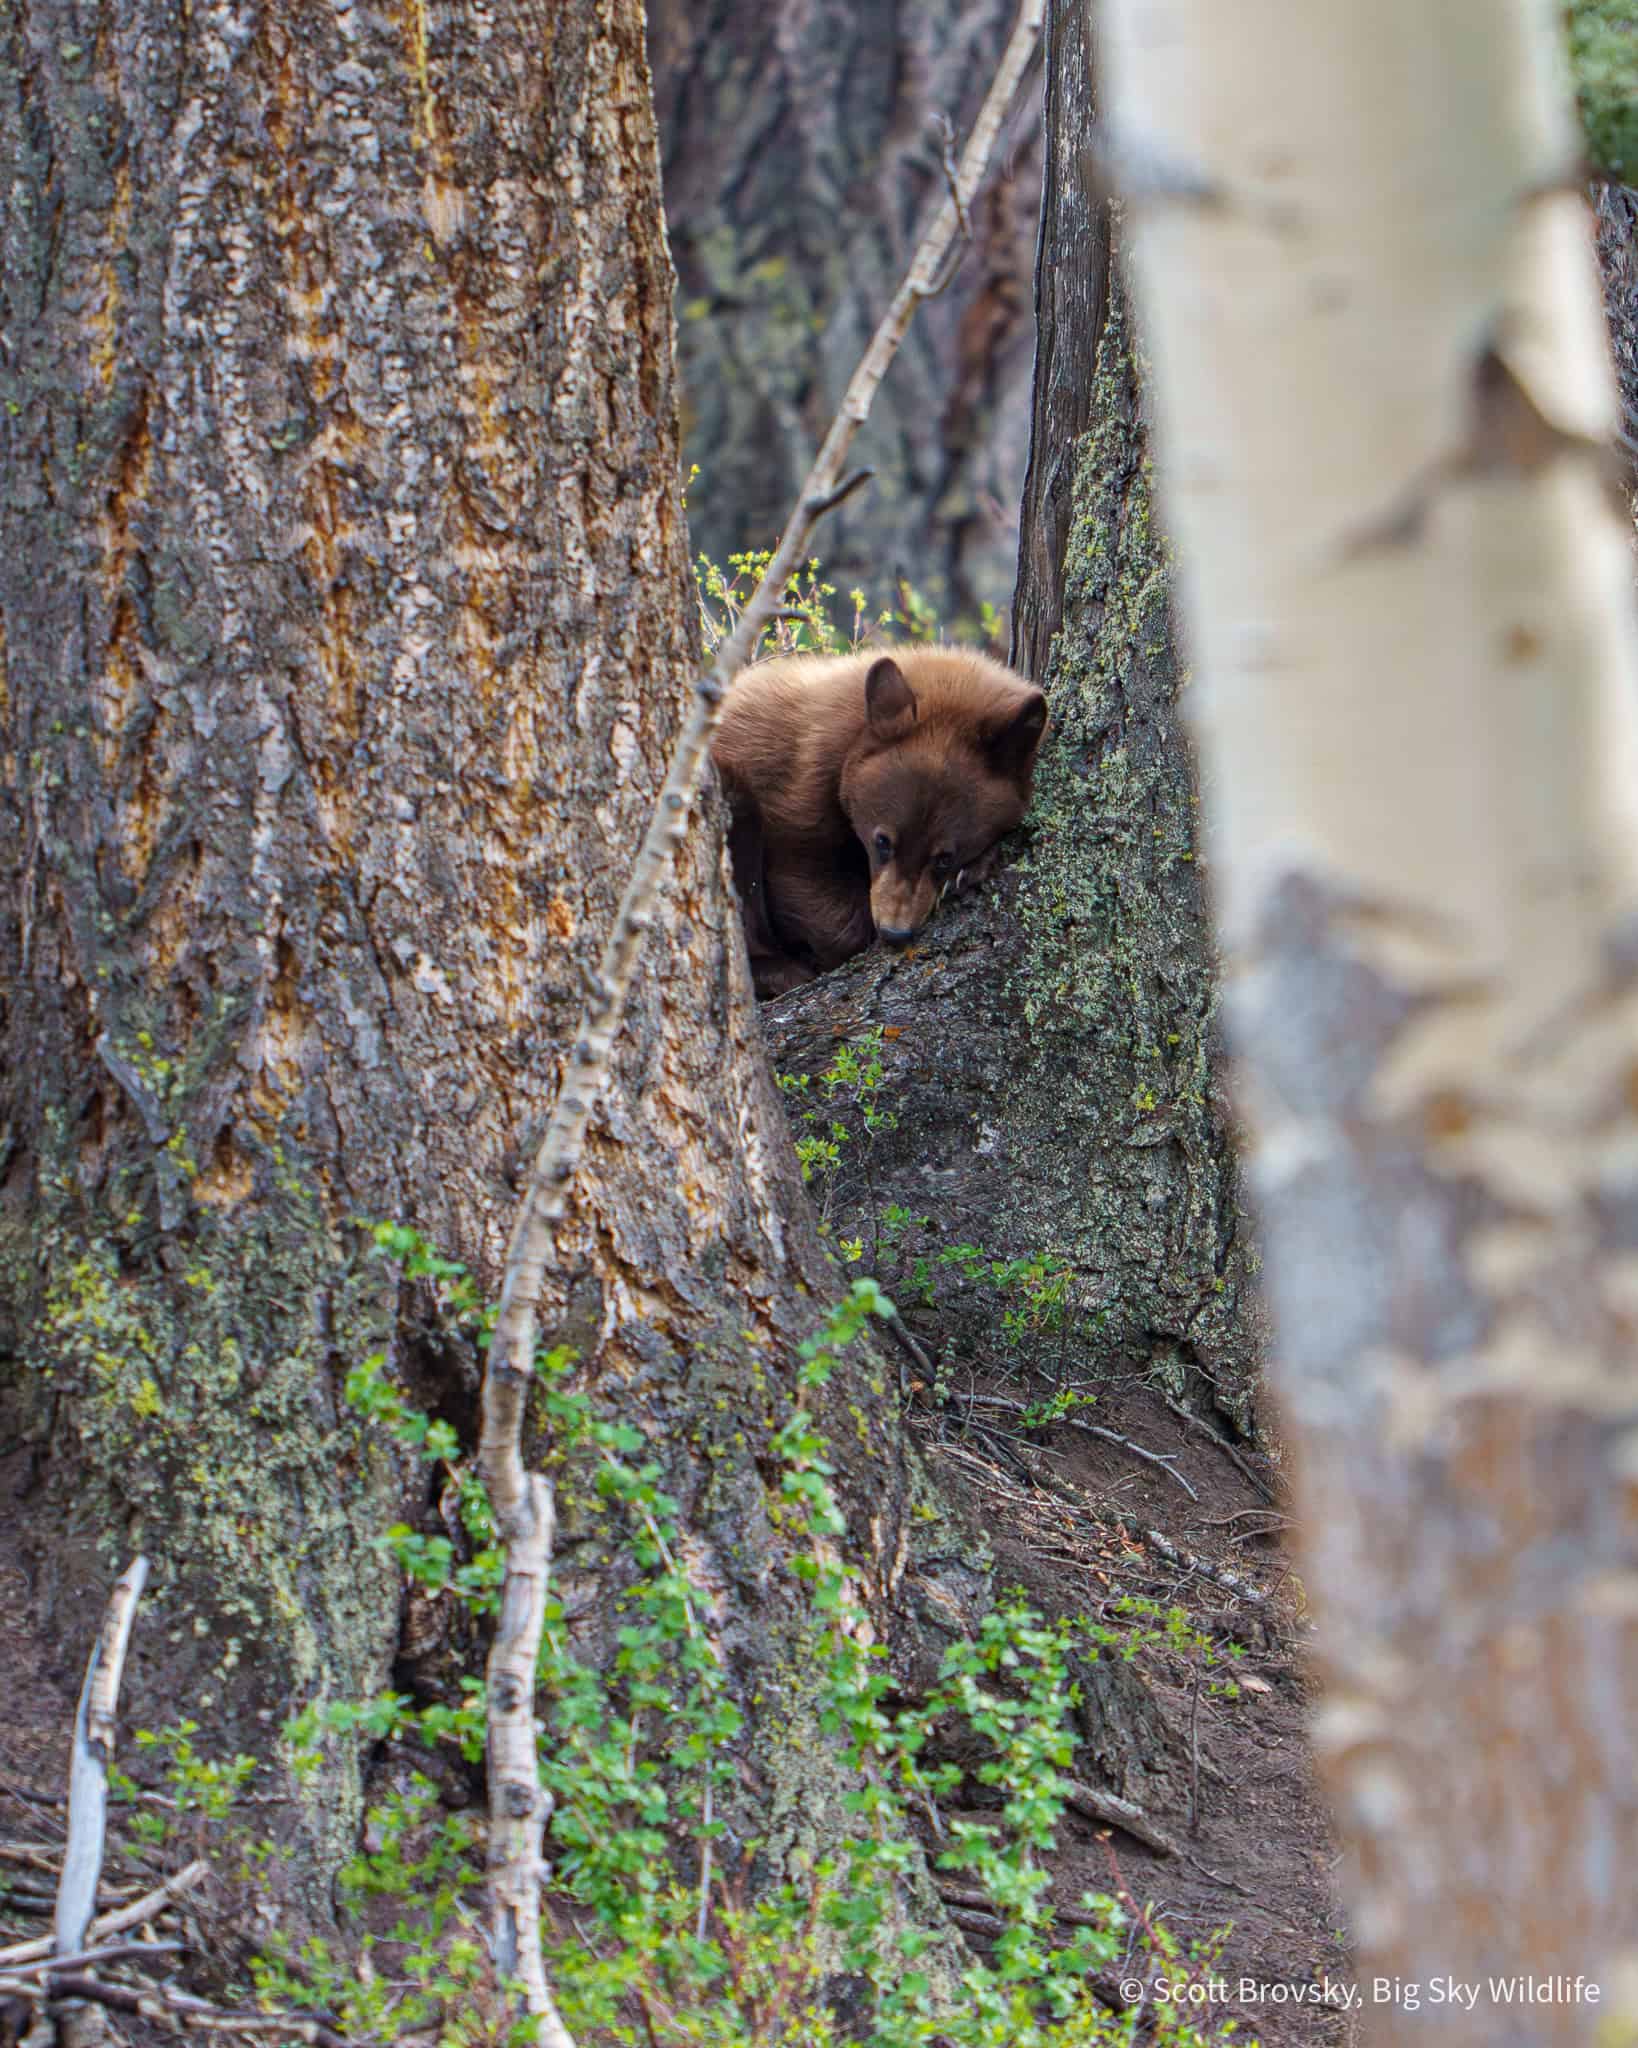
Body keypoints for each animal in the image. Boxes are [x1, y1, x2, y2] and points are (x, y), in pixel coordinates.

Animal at [710, 646, 1049, 999]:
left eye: (945, 857)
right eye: (882, 841)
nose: (894, 932)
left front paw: (975, 867)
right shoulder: (799, 790)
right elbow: (804, 877)